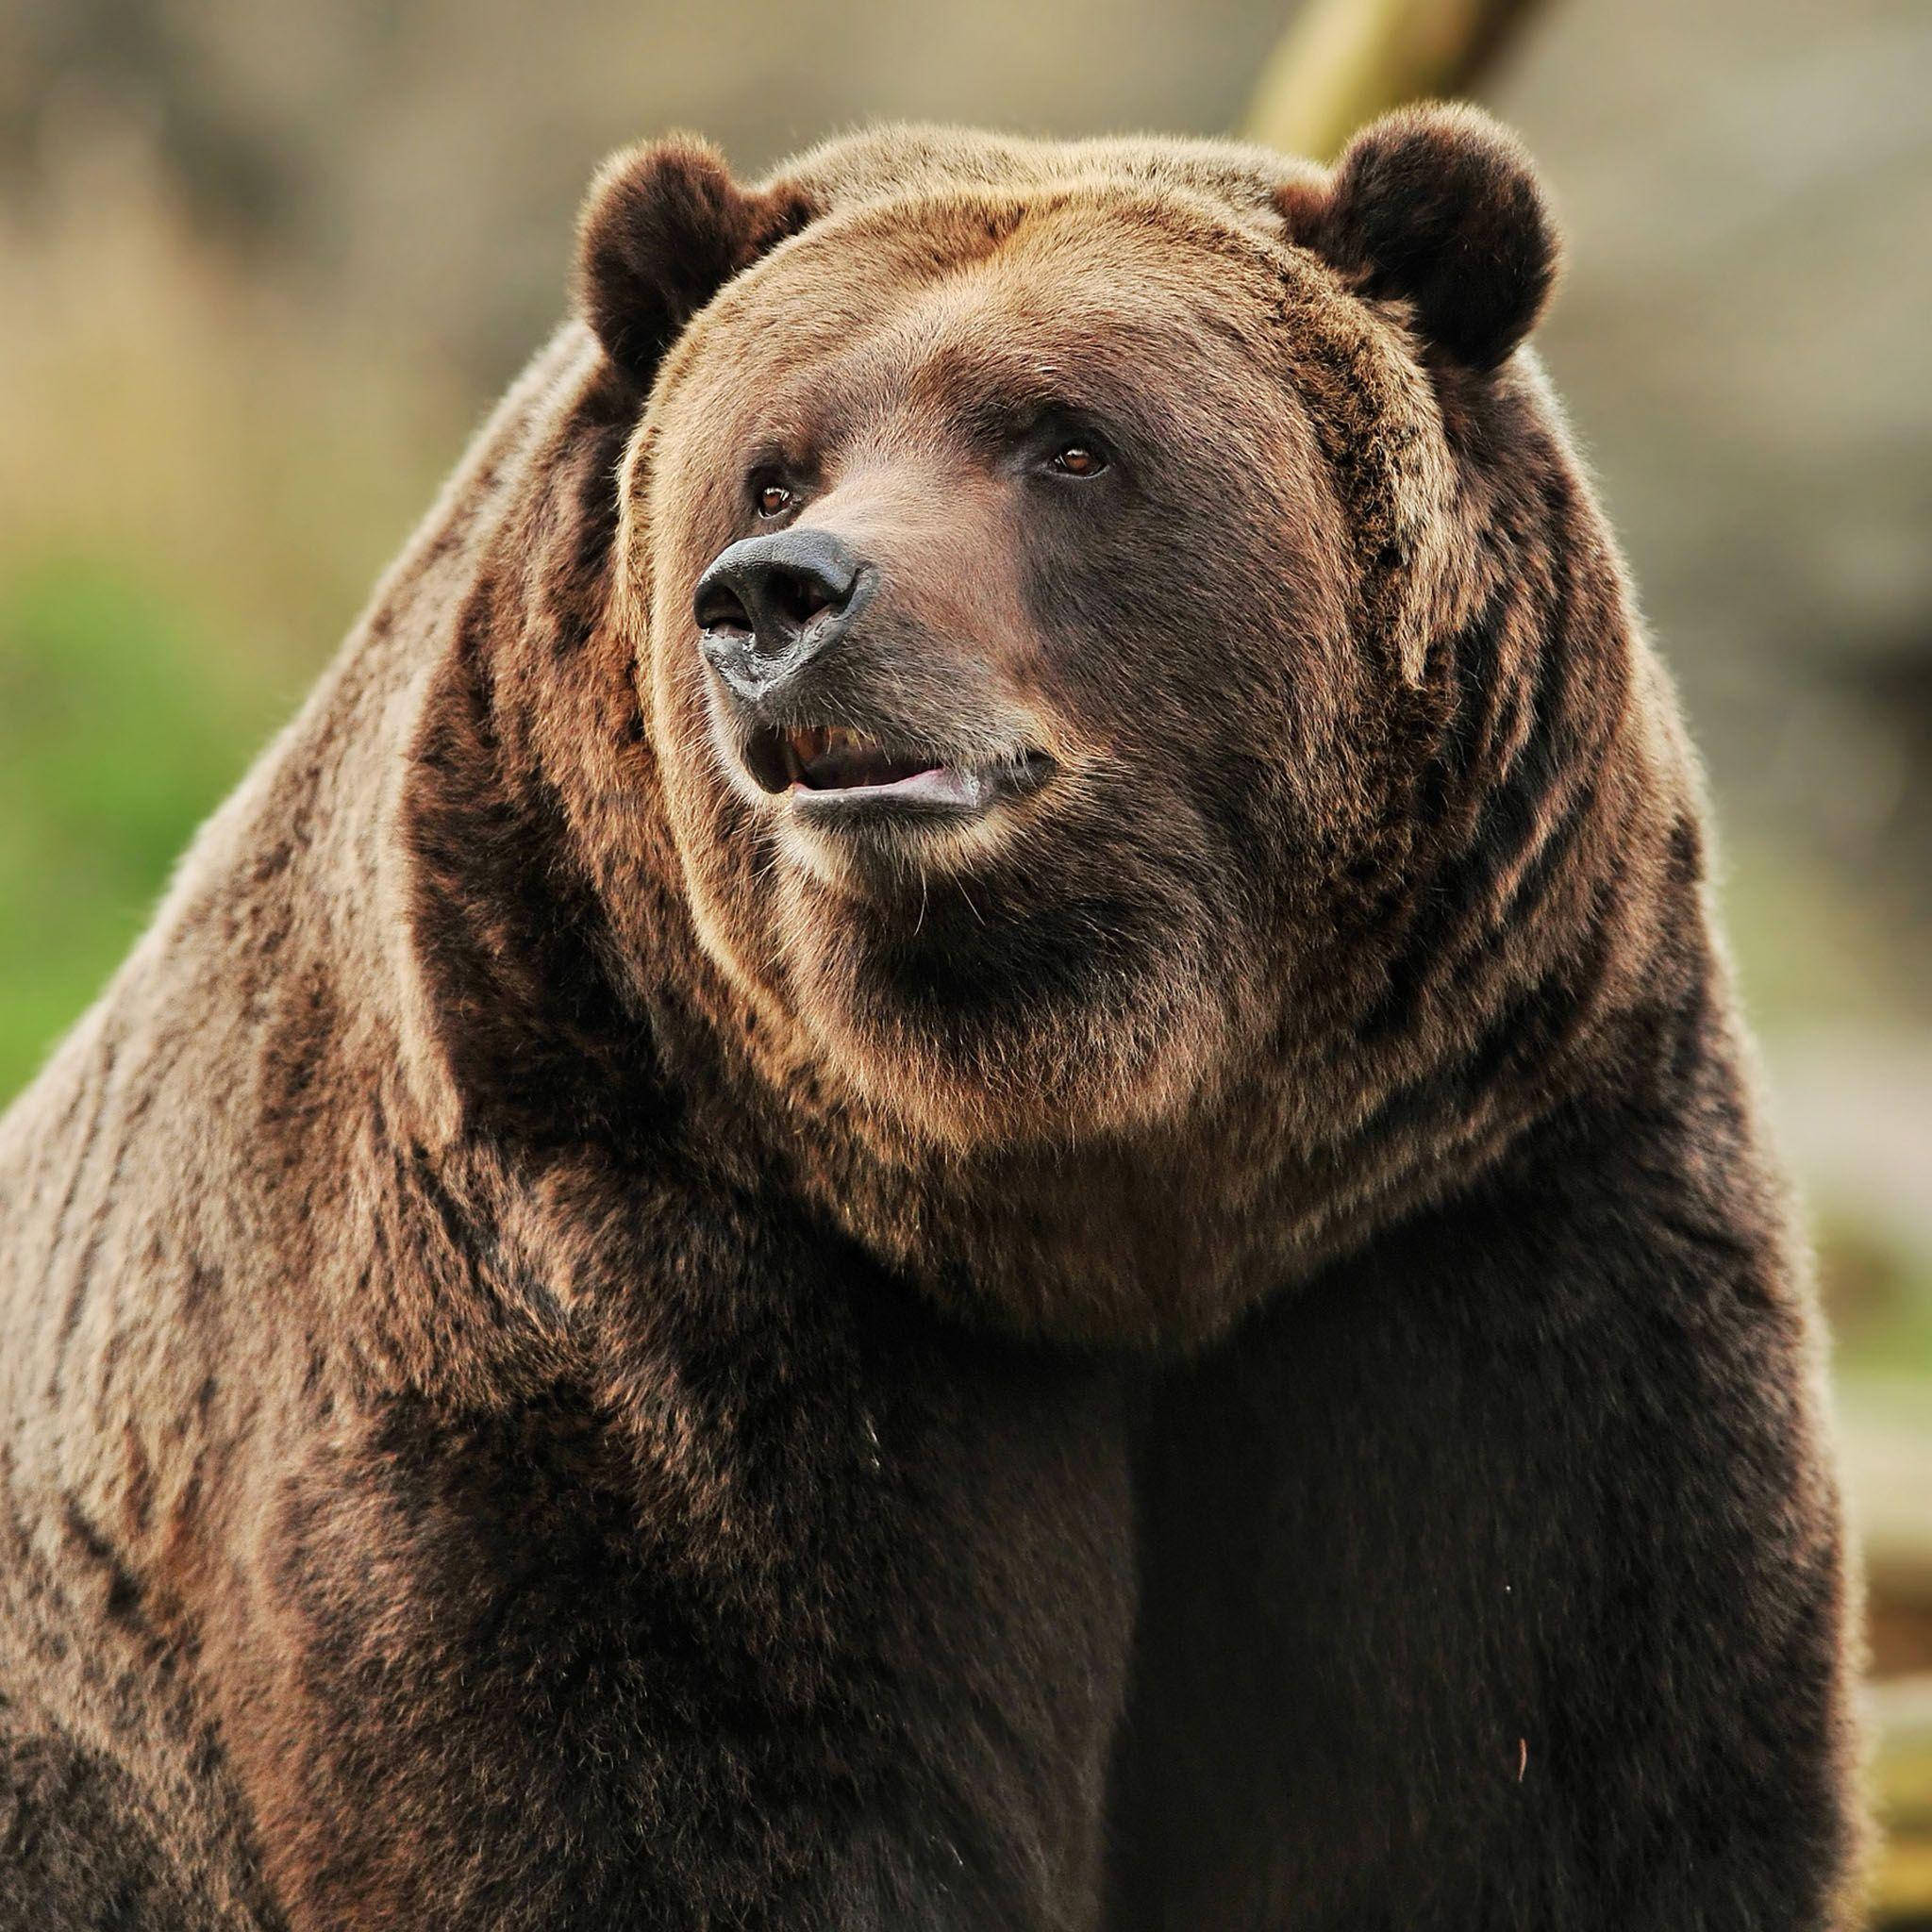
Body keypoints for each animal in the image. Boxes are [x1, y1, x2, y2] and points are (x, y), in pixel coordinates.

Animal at [0, 106, 1861, 1928]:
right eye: (774, 461)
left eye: (1068, 443)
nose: (776, 595)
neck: (1089, 1168)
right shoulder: (620, 1250)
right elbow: (668, 1778)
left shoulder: (1469, 1240)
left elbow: (1539, 1782)